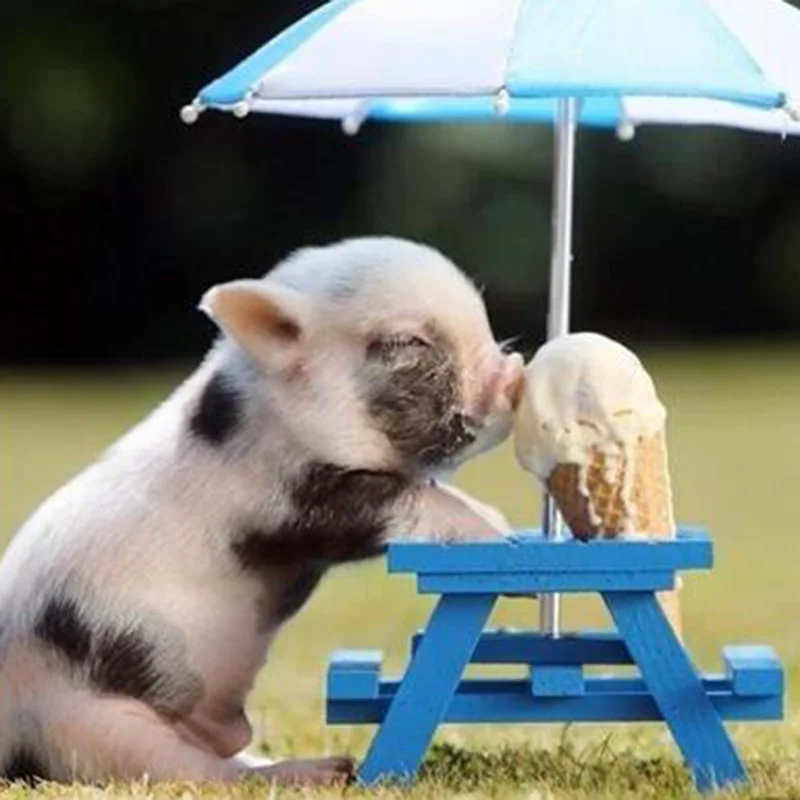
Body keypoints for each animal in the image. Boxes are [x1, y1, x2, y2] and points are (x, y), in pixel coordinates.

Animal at [0, 237, 524, 787]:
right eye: (408, 342)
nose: (513, 372)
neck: (274, 412)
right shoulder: (291, 500)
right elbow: (405, 498)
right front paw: (501, 535)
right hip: (87, 725)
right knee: (200, 771)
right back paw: (327, 771)